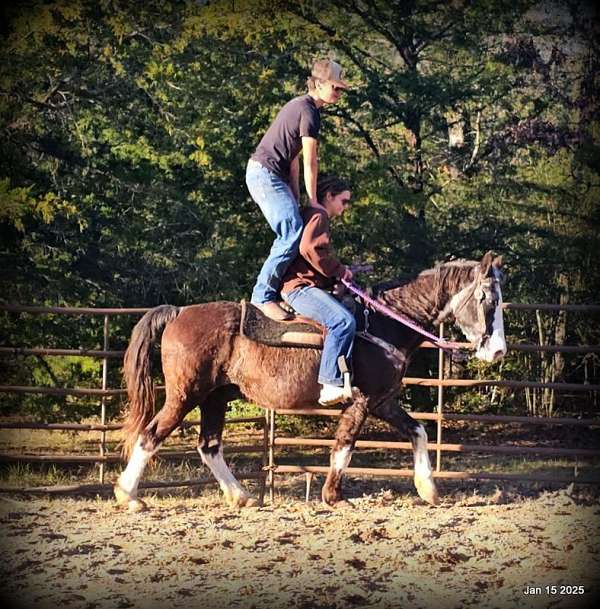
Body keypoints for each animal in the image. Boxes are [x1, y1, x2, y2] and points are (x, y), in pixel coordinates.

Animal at [113, 249, 506, 510]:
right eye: (488, 299)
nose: (499, 350)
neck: (383, 323)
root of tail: (179, 312)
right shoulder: (362, 401)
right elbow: (344, 446)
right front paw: (334, 496)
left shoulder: (383, 400)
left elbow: (418, 431)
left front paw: (428, 488)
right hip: (185, 395)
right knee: (150, 436)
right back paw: (129, 497)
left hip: (214, 398)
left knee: (209, 445)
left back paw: (241, 496)